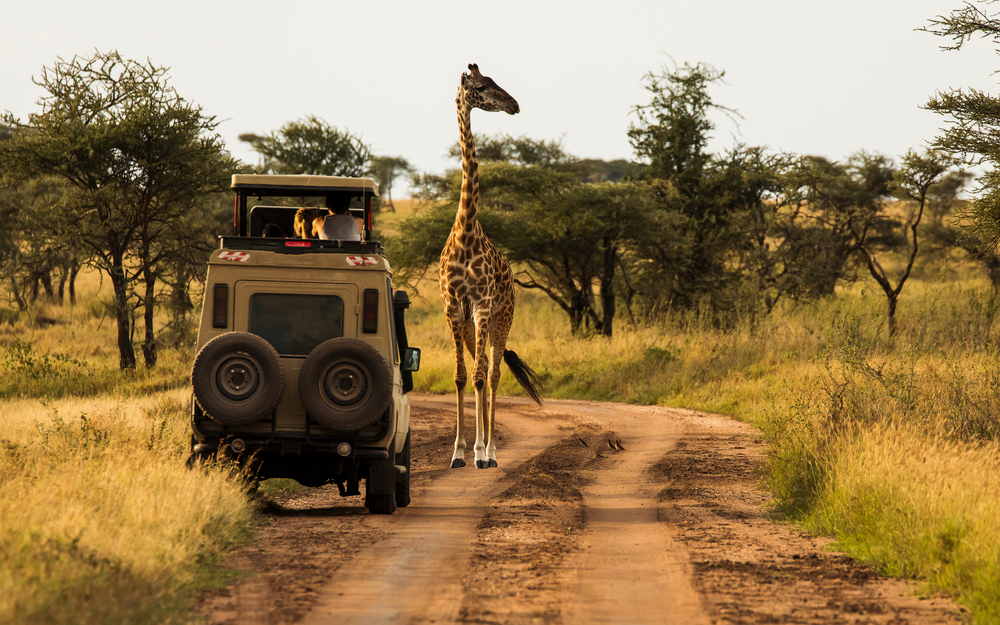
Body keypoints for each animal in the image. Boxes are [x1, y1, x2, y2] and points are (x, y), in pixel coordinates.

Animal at [440, 63, 542, 470]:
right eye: (482, 86)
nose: (514, 105)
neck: (466, 231)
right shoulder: (455, 309)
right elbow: (460, 376)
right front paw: (457, 453)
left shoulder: (483, 307)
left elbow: (483, 376)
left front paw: (481, 452)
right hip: (472, 326)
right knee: (480, 369)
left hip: (503, 319)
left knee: (495, 374)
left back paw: (492, 451)